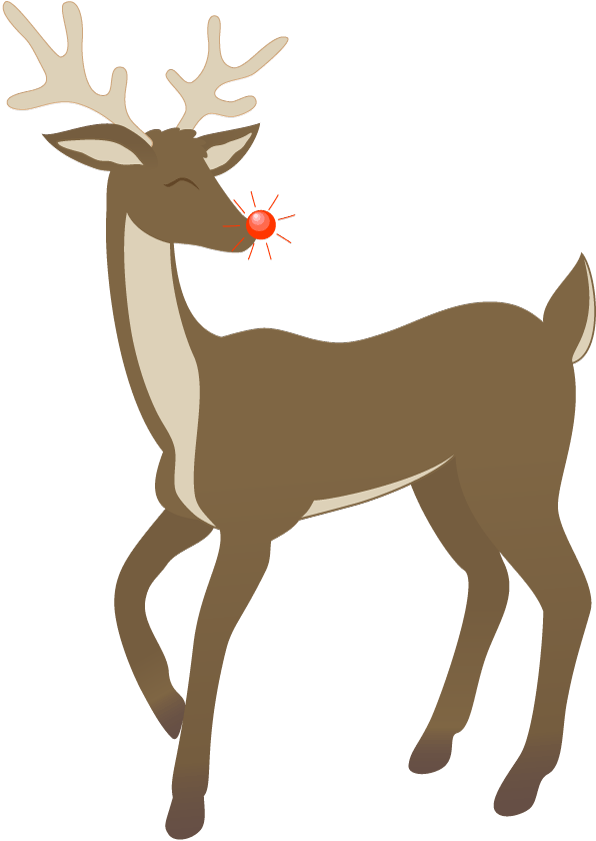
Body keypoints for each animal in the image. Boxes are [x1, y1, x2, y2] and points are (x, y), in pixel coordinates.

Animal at [4, 2, 593, 838]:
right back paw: (432, 745)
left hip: (521, 469)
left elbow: (209, 634)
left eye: (210, 170)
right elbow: (122, 585)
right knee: (489, 581)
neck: (188, 406)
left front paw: (186, 801)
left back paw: (520, 780)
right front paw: (170, 712)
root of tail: (559, 337)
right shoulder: (184, 507)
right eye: (168, 175)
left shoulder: (259, 518)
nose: (242, 230)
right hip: (443, 483)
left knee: (568, 590)